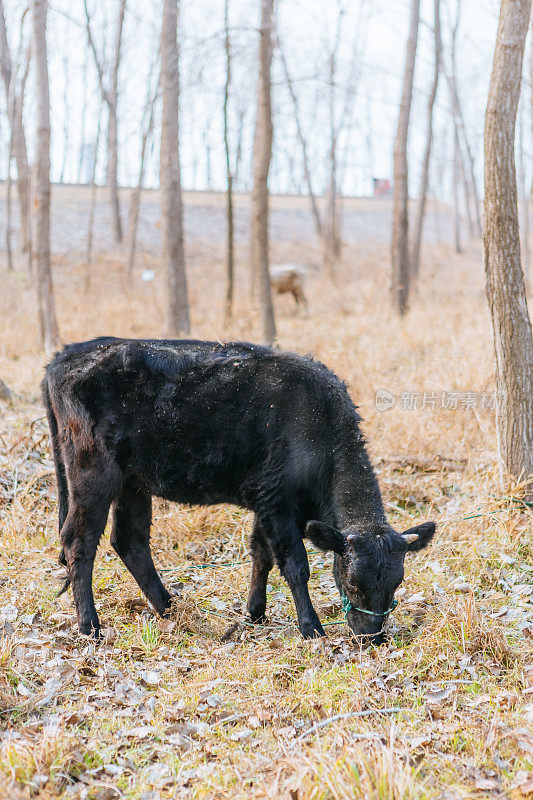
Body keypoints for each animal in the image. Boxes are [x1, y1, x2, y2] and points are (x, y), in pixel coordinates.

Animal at [40, 338, 432, 644]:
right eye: (352, 582)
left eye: (397, 583)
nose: (372, 637)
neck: (320, 424)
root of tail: (65, 355)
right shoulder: (278, 502)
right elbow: (295, 564)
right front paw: (311, 628)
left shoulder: (266, 500)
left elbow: (261, 555)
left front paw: (255, 614)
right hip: (93, 474)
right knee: (79, 541)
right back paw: (90, 626)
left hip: (133, 482)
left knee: (130, 540)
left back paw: (172, 609)